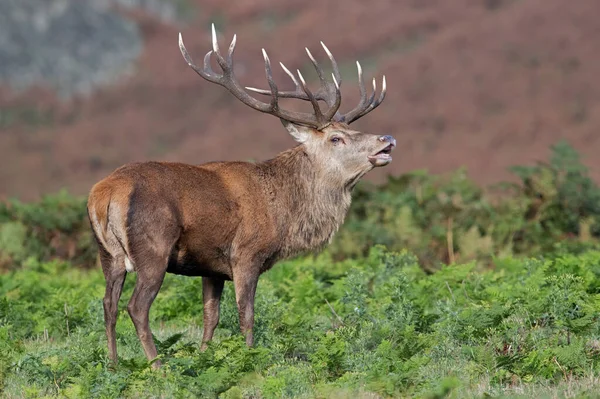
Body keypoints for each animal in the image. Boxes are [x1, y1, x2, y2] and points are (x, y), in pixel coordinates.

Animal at [85, 24, 394, 368]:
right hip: (153, 247)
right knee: (137, 307)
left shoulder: (211, 266)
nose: (387, 139)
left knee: (108, 304)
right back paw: (158, 367)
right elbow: (246, 315)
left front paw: (205, 359)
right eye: (336, 138)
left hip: (108, 253)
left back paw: (113, 365)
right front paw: (250, 359)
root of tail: (106, 193)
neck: (284, 214)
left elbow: (211, 317)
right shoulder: (246, 254)